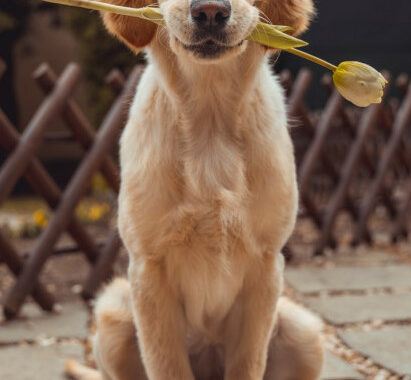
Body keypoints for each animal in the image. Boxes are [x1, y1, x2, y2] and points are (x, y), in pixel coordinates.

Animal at [66, 0, 326, 378]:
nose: (210, 12)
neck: (210, 120)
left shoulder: (265, 266)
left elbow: (248, 363)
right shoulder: (148, 267)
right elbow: (167, 365)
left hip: (305, 332)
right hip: (113, 316)